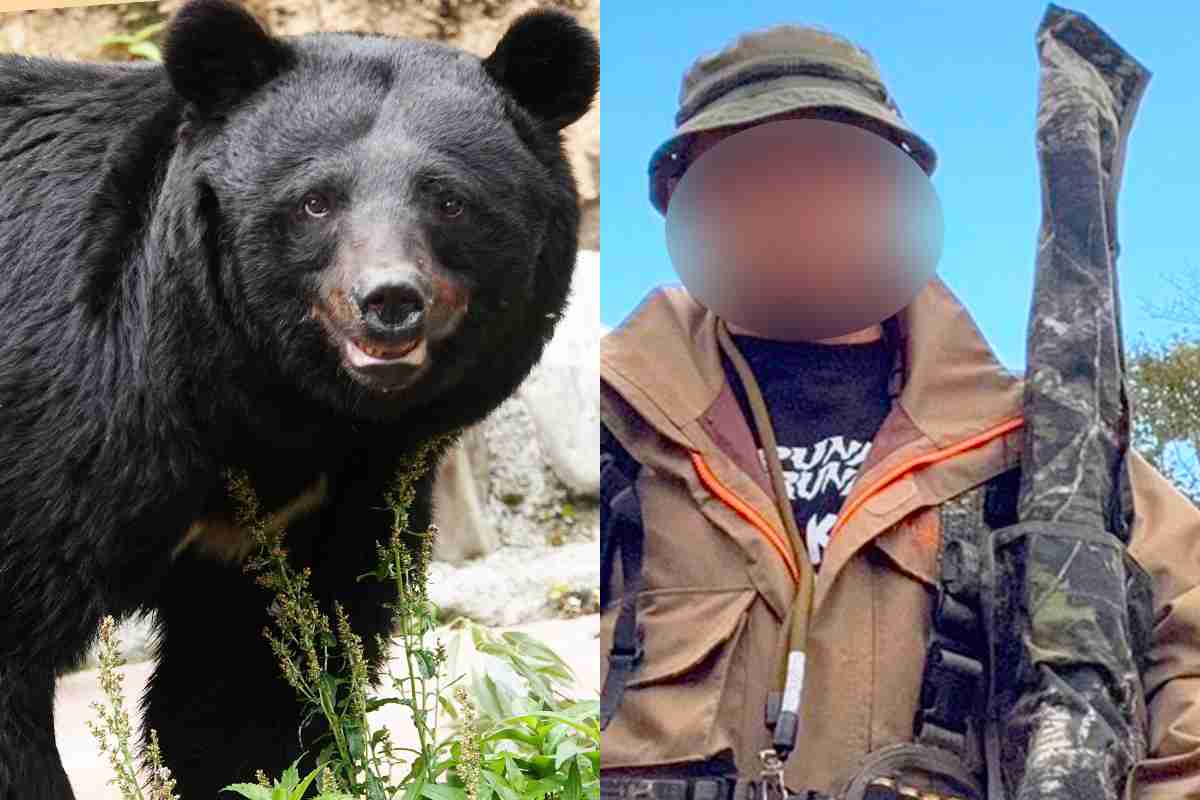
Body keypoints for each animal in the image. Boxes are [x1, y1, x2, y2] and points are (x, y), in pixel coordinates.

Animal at [0, 1, 598, 797]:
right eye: (316, 202)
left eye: (450, 201)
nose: (389, 301)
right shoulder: (66, 426)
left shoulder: (326, 503)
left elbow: (255, 687)